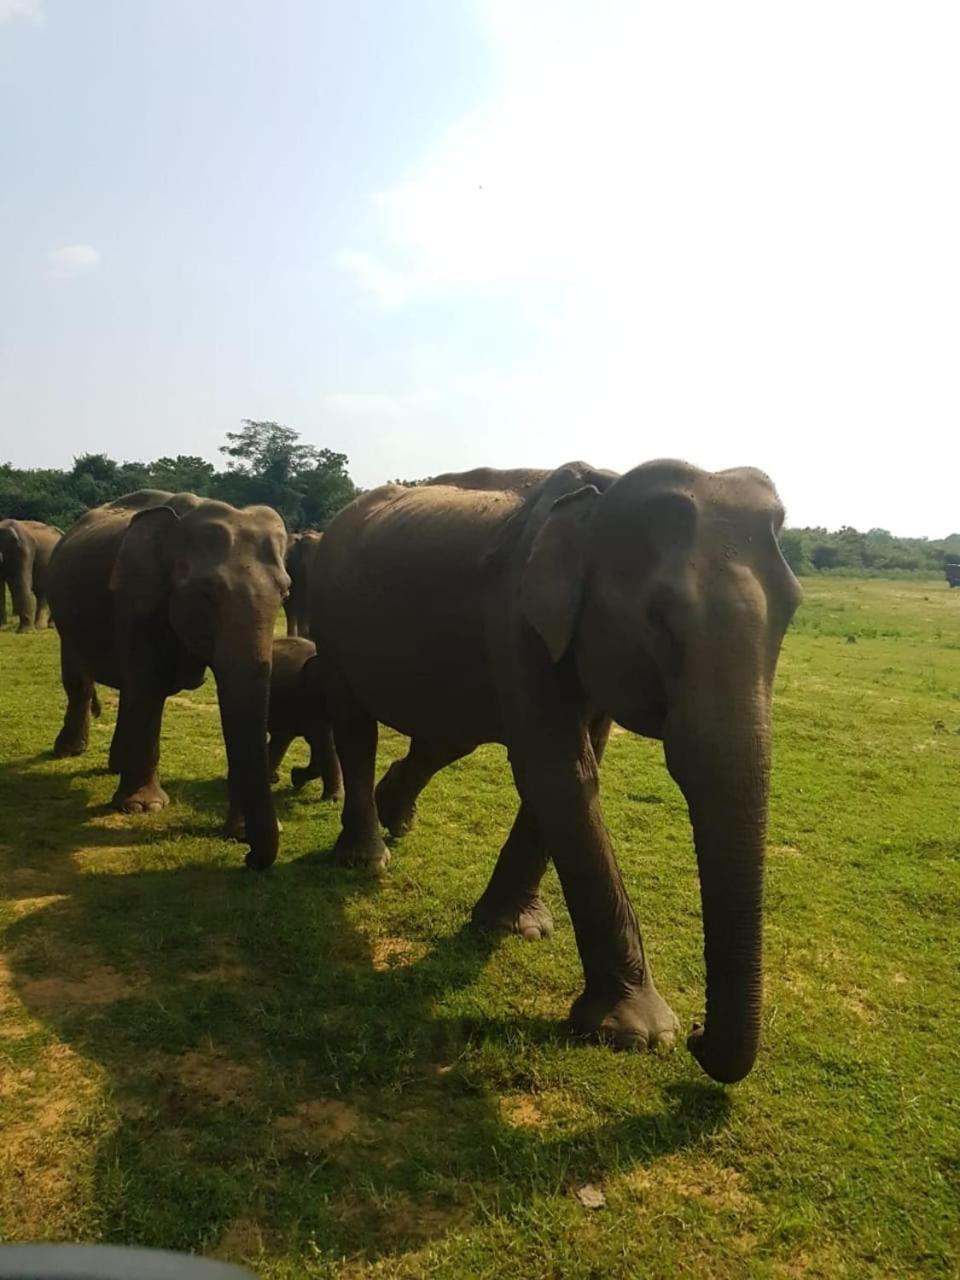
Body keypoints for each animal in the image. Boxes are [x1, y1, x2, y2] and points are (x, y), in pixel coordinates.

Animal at [48, 488, 289, 870]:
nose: (249, 856)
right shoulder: (136, 601)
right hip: (65, 613)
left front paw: (239, 831)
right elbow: (148, 686)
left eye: (285, 594)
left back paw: (117, 765)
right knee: (82, 682)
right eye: (207, 593)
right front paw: (142, 807)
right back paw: (70, 752)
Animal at [225, 634, 343, 834]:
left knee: (281, 738)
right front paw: (333, 798)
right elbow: (323, 742)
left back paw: (274, 778)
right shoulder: (309, 698)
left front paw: (297, 777)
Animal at [309, 460, 803, 1080]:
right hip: (331, 616)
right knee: (356, 724)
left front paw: (513, 928)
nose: (697, 1035)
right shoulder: (517, 617)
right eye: (659, 621)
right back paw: (366, 858)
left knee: (446, 735)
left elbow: (573, 766)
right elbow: (560, 771)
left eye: (792, 613)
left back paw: (395, 816)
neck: (600, 499)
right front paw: (639, 1034)